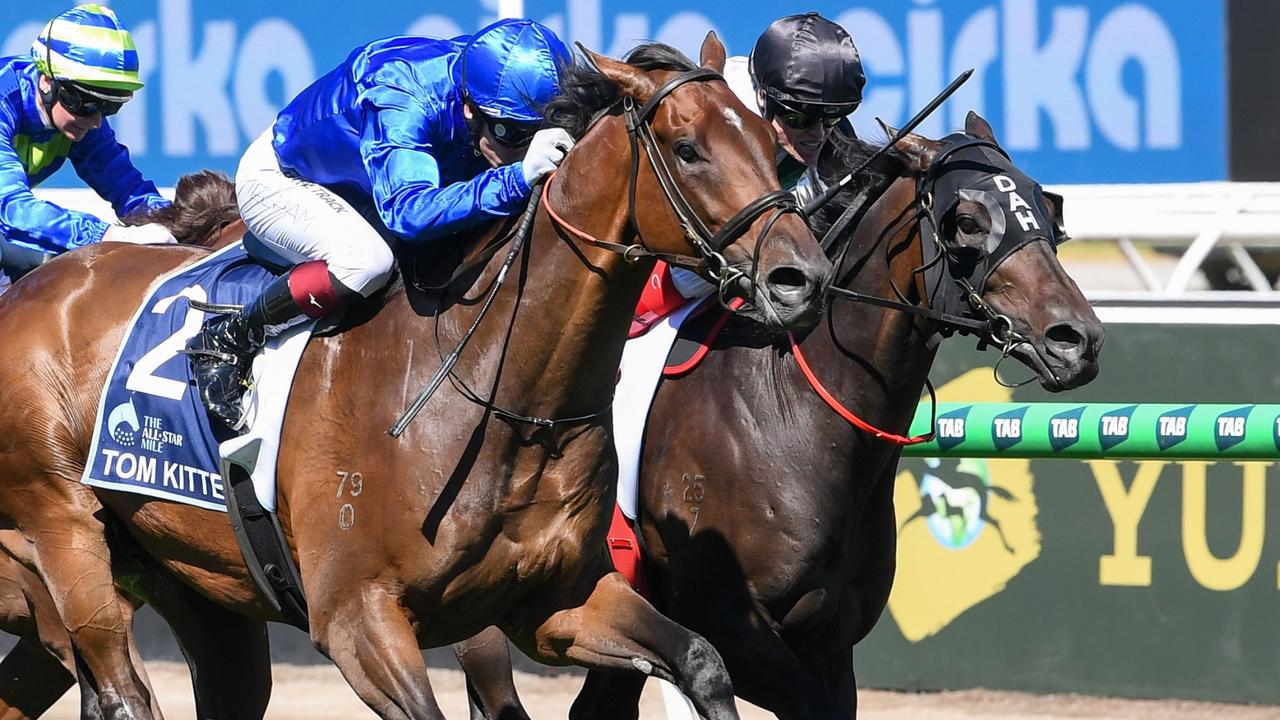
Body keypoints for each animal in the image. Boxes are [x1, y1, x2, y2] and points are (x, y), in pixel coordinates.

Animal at [0, 35, 829, 720]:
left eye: (770, 142)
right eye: (688, 150)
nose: (801, 277)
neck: (499, 394)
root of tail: (31, 289)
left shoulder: (559, 604)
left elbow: (702, 661)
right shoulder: (355, 617)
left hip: (196, 585)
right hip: (66, 531)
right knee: (121, 689)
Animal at [565, 112, 1105, 712]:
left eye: (1049, 209)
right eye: (966, 221)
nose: (1077, 340)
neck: (788, 417)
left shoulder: (831, 645)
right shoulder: (725, 626)